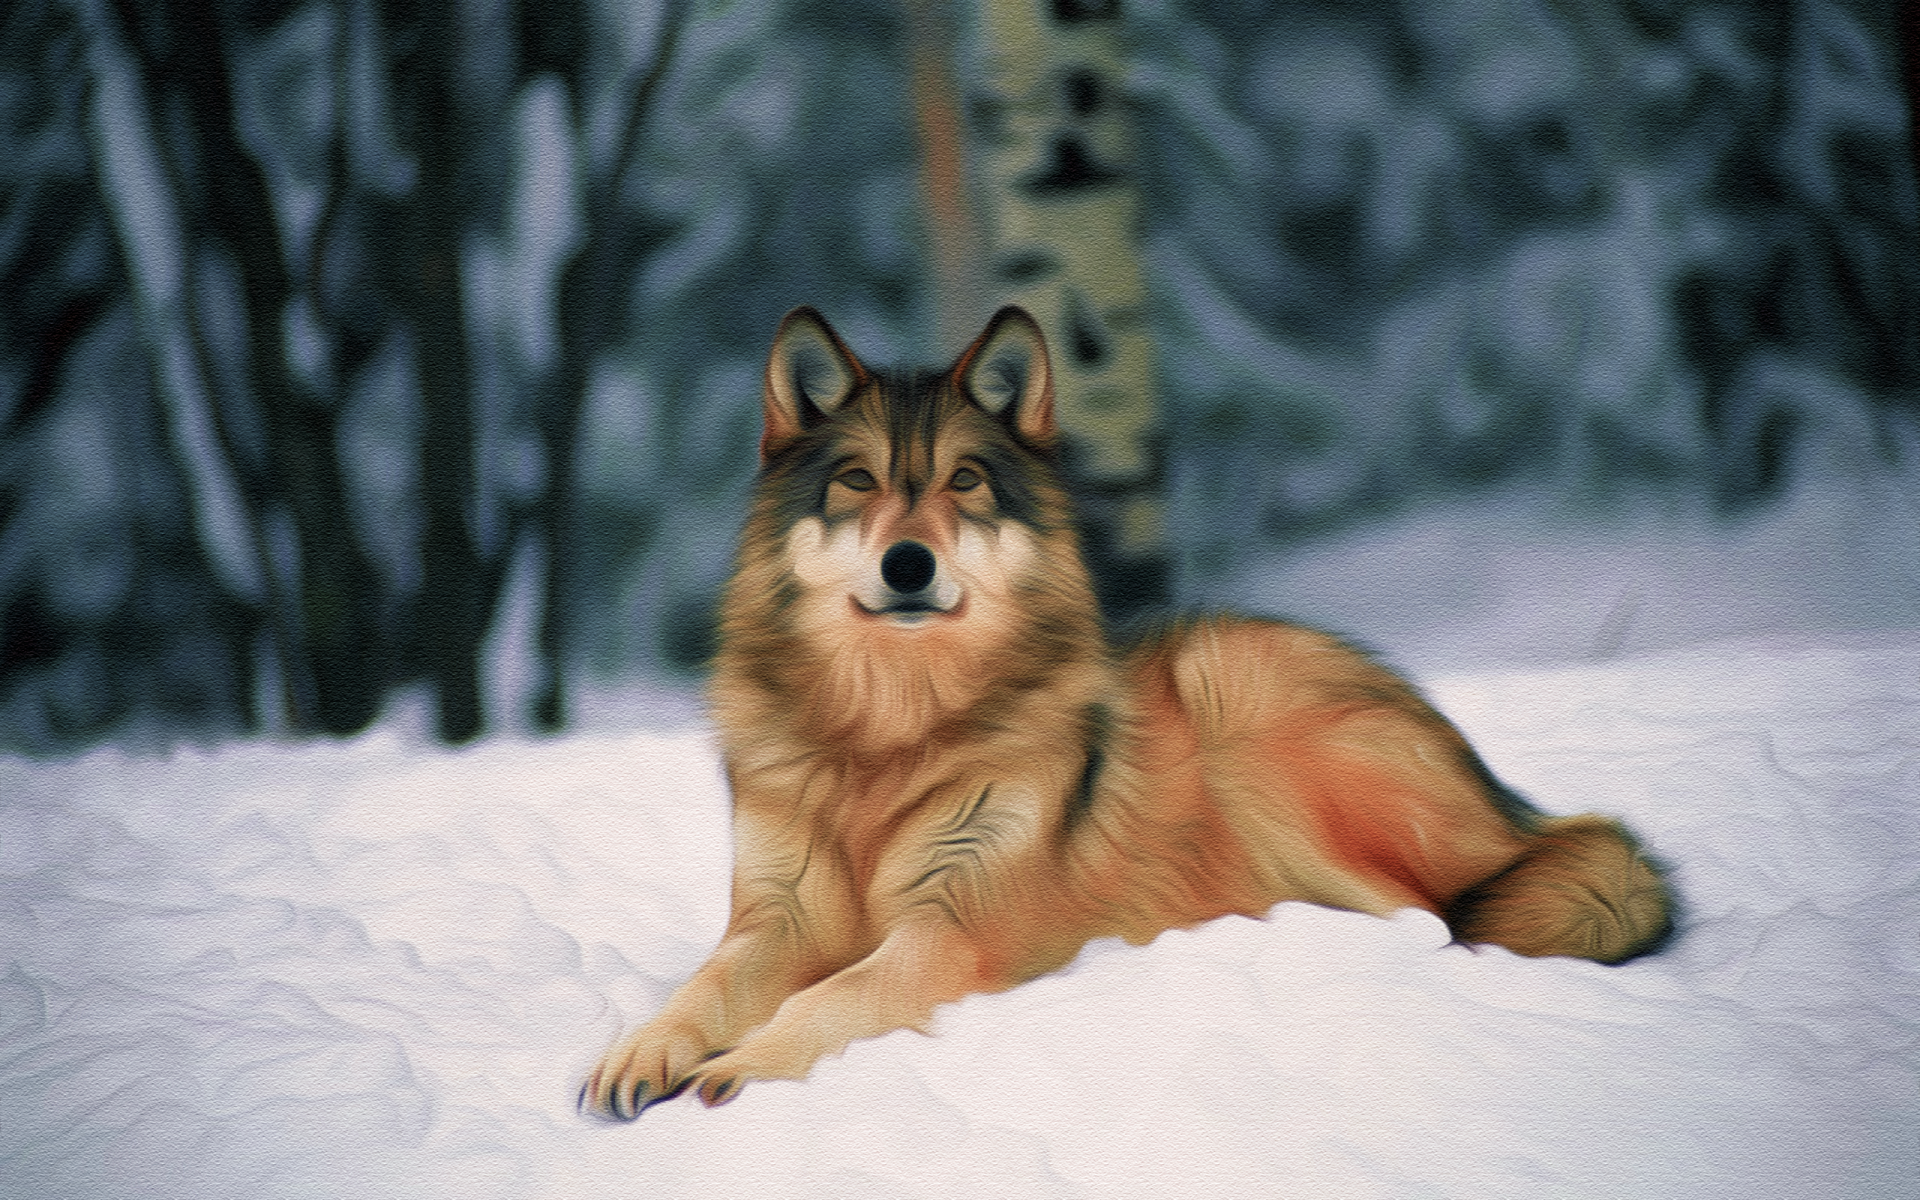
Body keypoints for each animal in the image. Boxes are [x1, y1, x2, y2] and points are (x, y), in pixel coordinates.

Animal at [580, 305, 1674, 1118]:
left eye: (964, 482)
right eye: (857, 480)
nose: (908, 563)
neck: (888, 734)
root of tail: (1518, 811)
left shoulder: (949, 933)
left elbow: (829, 997)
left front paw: (739, 1065)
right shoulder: (774, 920)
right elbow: (702, 988)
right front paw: (641, 1051)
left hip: (1248, 718)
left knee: (1435, 914)